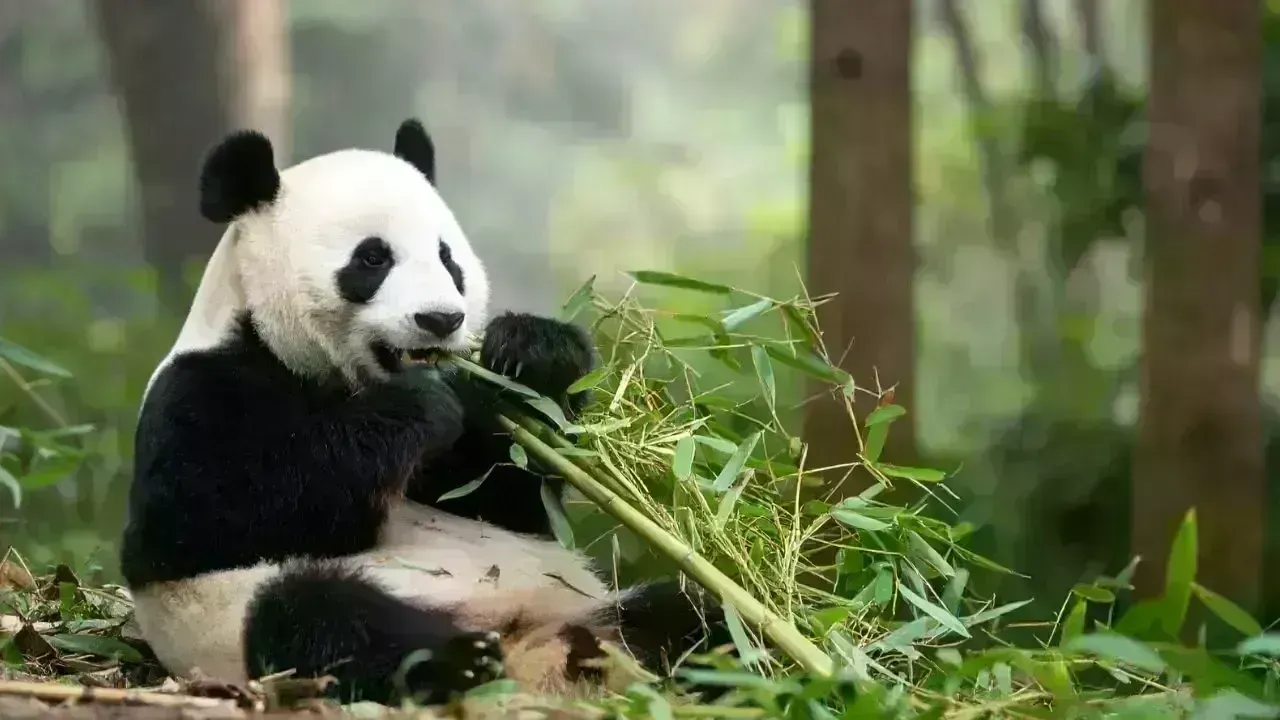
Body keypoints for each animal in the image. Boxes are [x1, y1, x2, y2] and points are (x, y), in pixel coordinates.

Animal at [120, 118, 732, 706]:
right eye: (372, 258)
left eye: (447, 258)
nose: (441, 319)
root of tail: (532, 652)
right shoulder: (201, 392)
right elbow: (204, 515)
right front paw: (418, 406)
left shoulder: (470, 457)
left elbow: (509, 495)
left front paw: (533, 353)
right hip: (247, 619)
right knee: (318, 618)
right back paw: (458, 661)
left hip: (594, 609)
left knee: (690, 616)